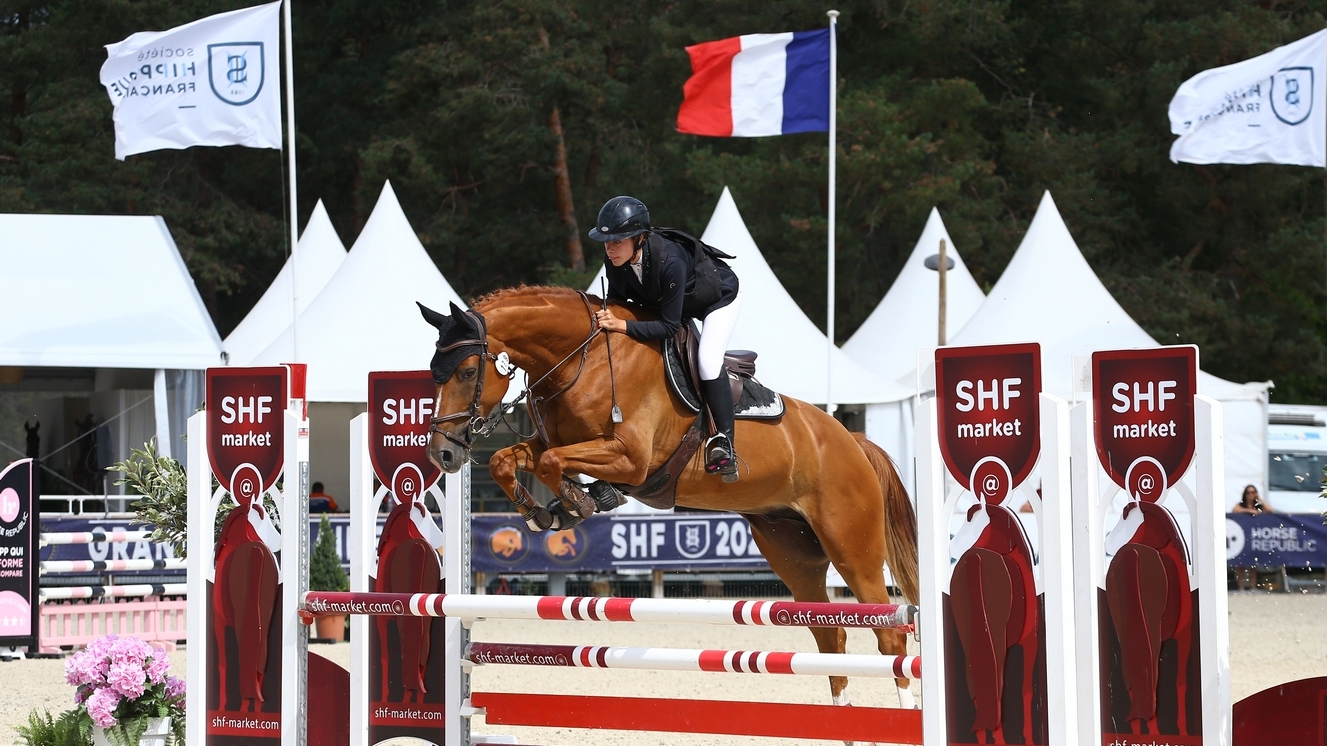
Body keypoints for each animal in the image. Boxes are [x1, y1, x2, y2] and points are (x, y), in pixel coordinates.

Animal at [419, 285, 918, 706]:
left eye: (467, 371)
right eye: (433, 374)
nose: (443, 454)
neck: (584, 358)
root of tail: (852, 440)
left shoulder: (630, 459)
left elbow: (552, 464)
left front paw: (580, 503)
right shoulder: (553, 443)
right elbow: (511, 461)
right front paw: (545, 513)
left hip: (851, 545)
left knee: (889, 635)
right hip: (791, 551)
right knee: (829, 637)